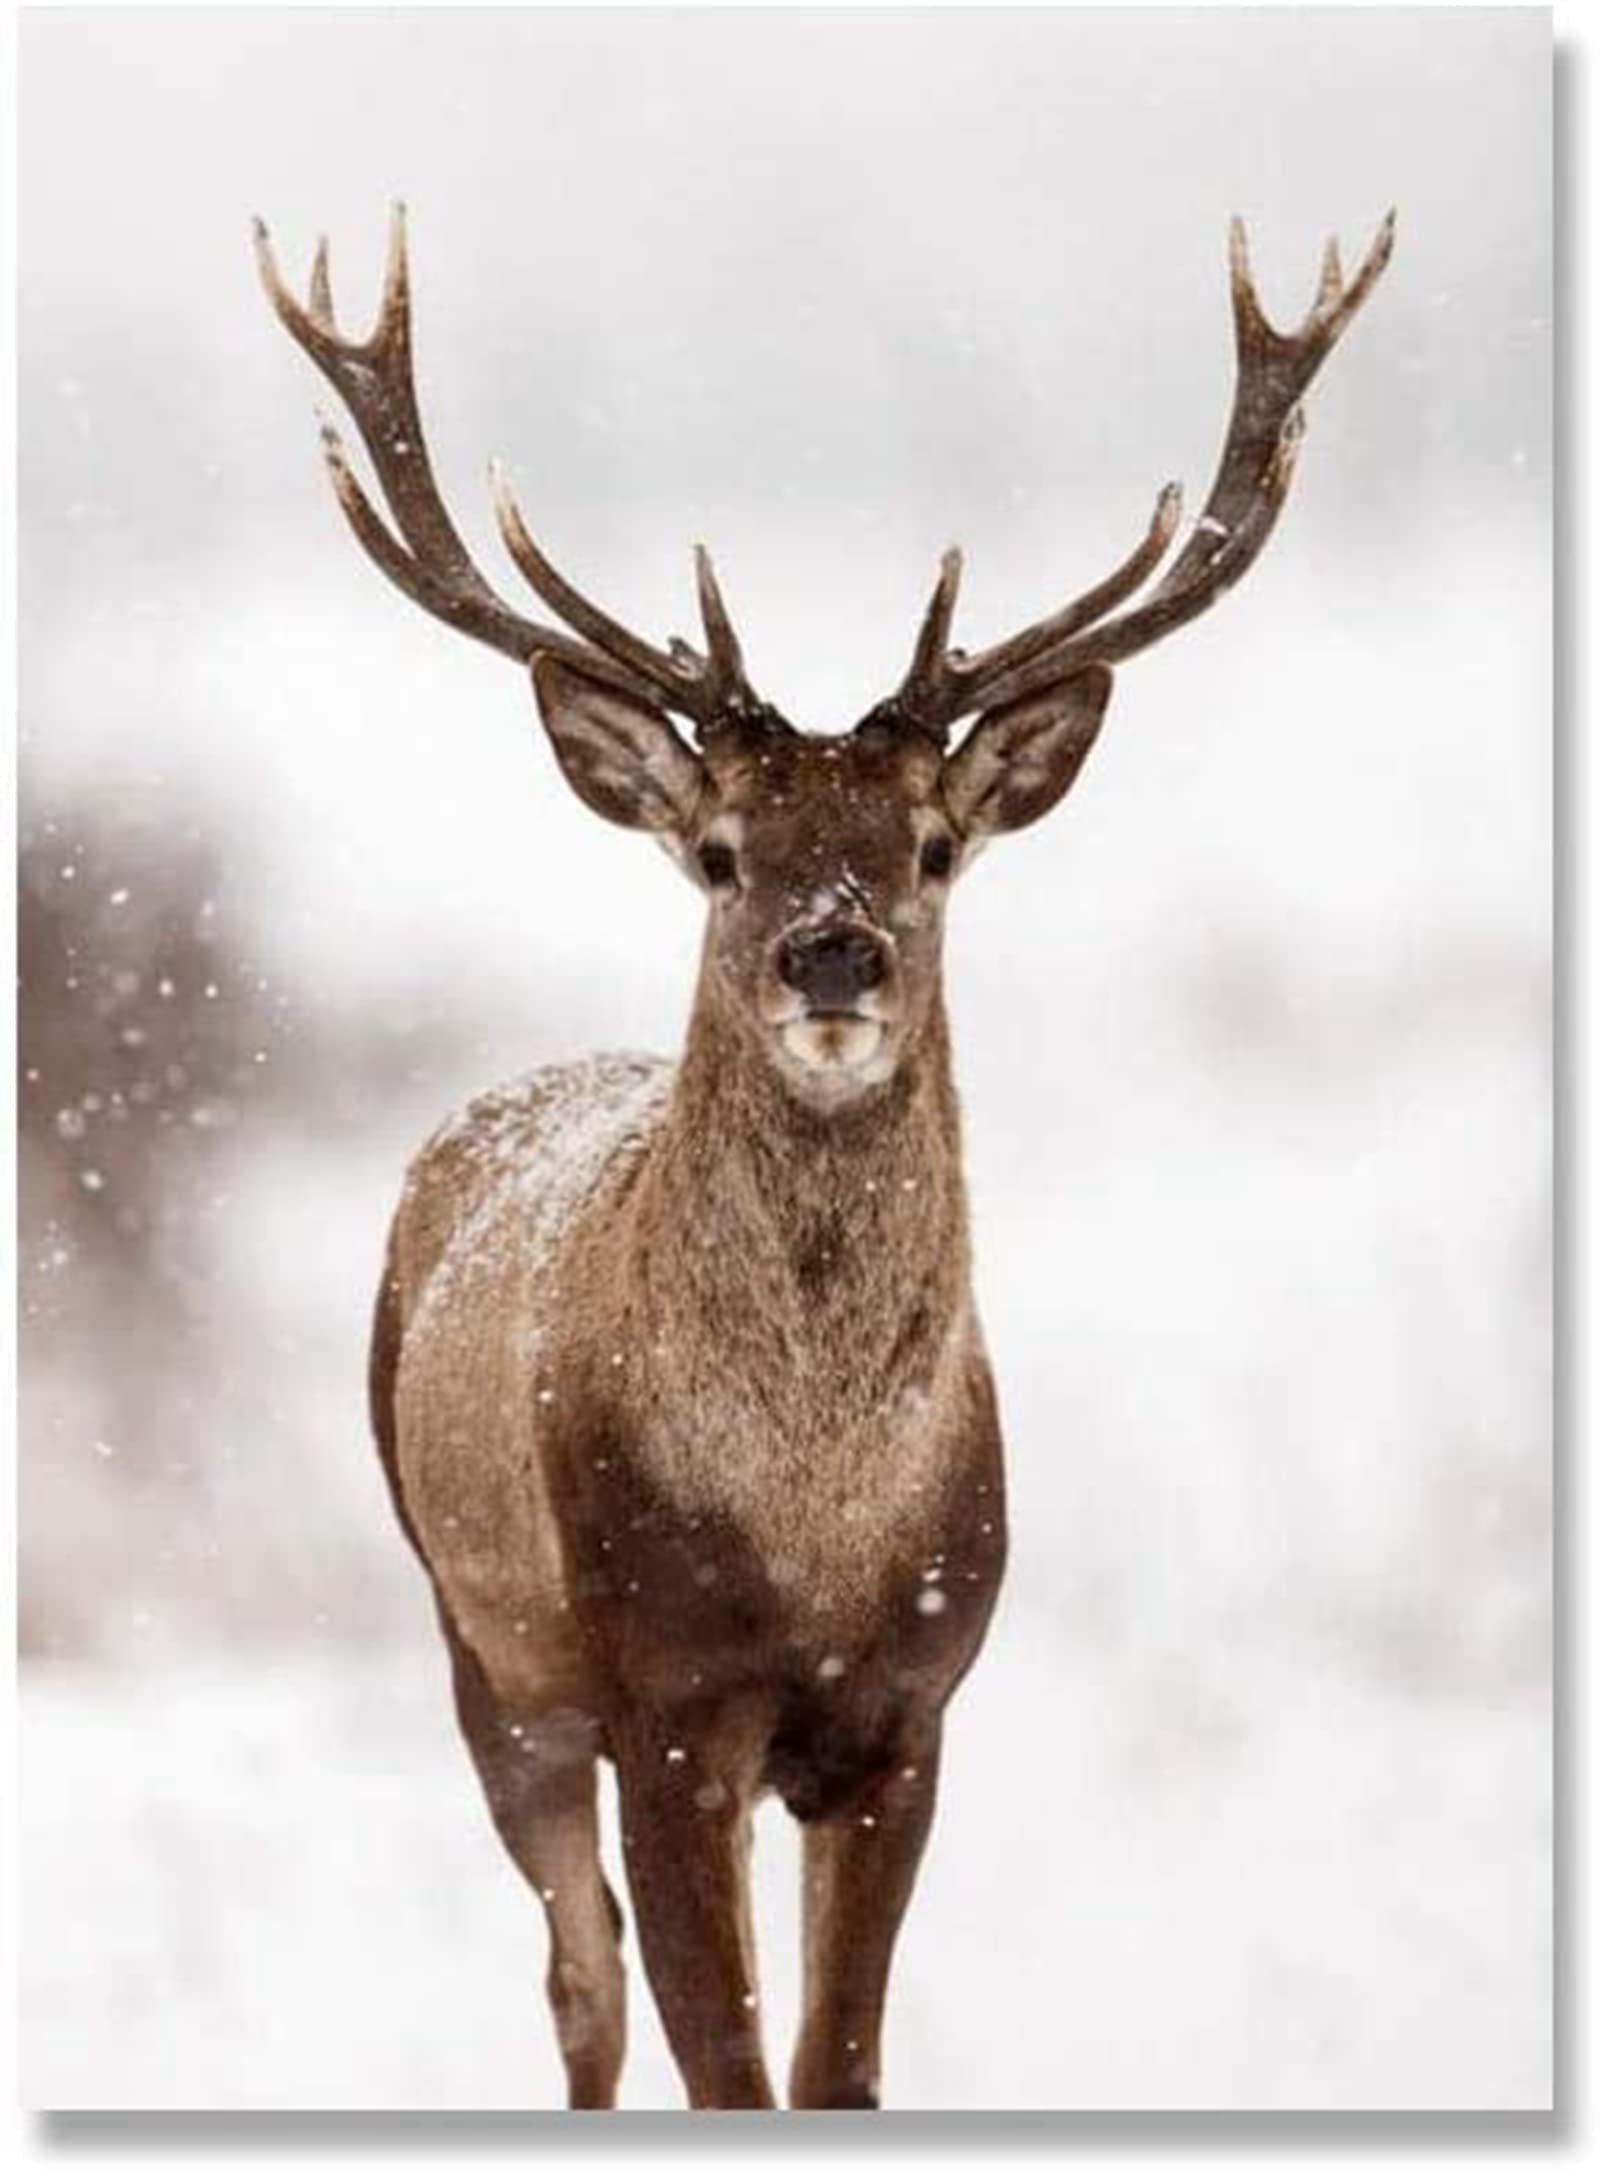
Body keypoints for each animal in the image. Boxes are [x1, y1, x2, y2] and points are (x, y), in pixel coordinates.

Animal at [255, 203, 1393, 2110]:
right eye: (721, 850)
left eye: (931, 843)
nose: (833, 951)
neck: (813, 1525)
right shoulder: (663, 1695)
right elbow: (723, 2062)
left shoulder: (909, 1701)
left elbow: (835, 2062)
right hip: (483, 1643)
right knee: (581, 1981)